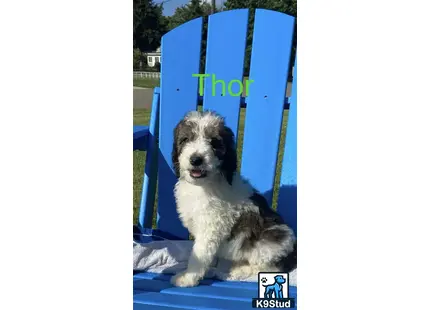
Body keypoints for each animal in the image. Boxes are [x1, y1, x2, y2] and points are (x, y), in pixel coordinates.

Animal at [170, 110, 298, 286]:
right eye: (185, 139)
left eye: (214, 142)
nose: (196, 160)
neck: (204, 184)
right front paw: (210, 267)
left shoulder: (210, 227)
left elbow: (199, 254)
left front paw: (187, 278)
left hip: (271, 240)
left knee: (268, 268)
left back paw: (239, 270)